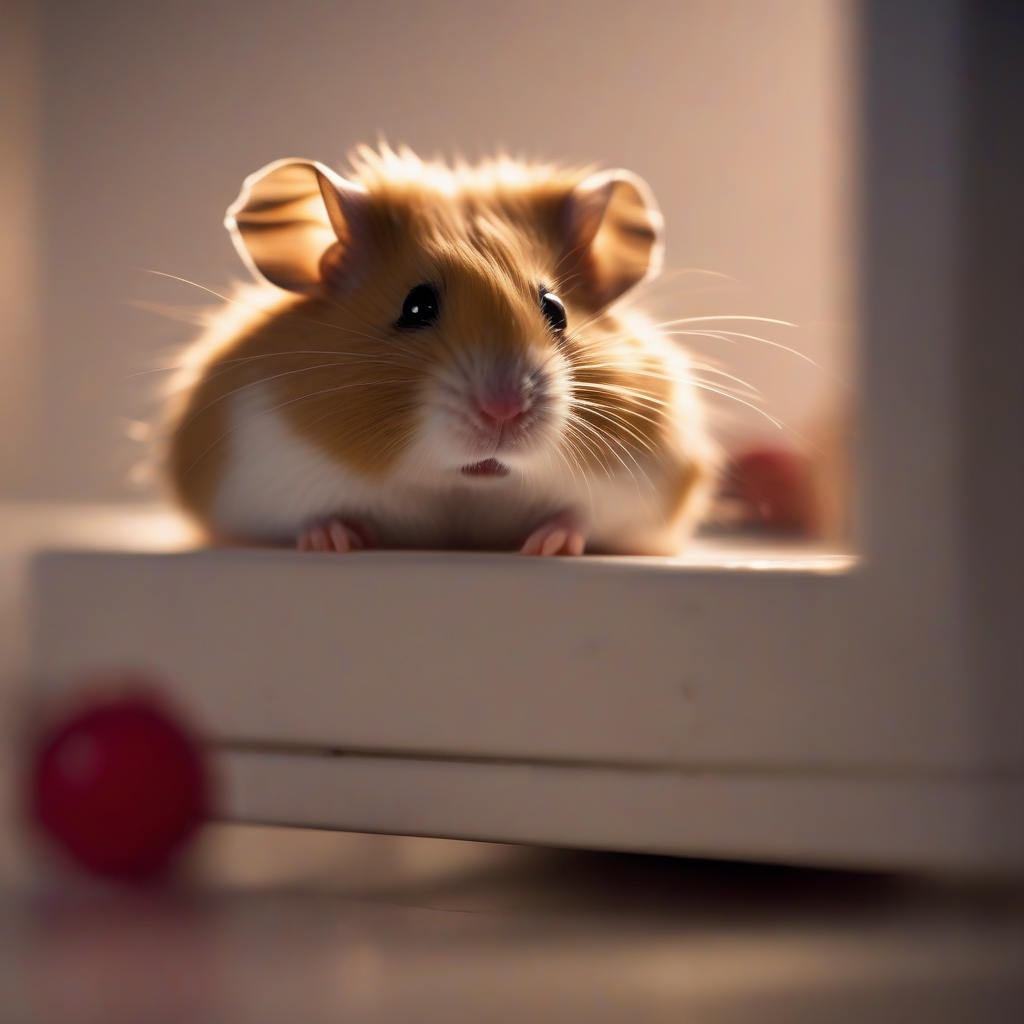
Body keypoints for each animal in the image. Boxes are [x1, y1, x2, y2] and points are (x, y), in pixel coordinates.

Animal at [165, 145, 715, 556]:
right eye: (416, 306)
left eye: (557, 310)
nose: (504, 411)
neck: (459, 485)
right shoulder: (263, 468)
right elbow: (312, 515)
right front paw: (335, 540)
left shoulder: (643, 486)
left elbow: (579, 516)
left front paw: (547, 545)